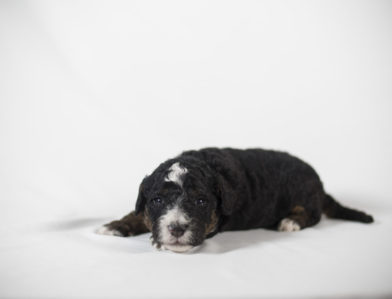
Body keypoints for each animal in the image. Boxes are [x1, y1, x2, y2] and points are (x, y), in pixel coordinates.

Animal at [98, 148, 374, 253]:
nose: (176, 229)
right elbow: (137, 213)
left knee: (314, 215)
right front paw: (115, 225)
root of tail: (320, 184)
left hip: (305, 194)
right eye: (156, 201)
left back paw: (291, 221)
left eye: (201, 202)